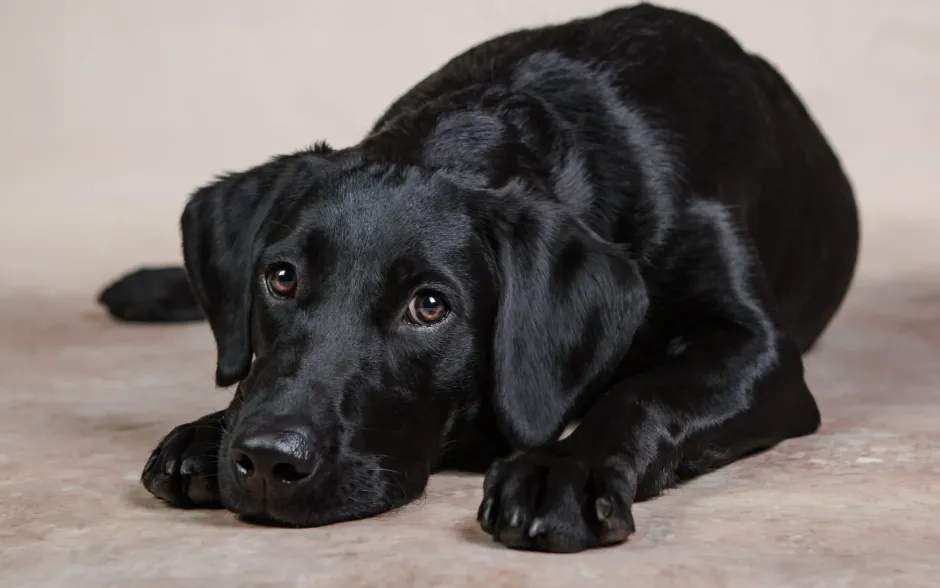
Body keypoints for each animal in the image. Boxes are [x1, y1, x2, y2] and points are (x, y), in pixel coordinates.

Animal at [99, 4, 856, 552]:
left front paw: (565, 471)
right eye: (280, 279)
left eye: (430, 306)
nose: (265, 461)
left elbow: (645, 394)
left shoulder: (757, 349)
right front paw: (207, 432)